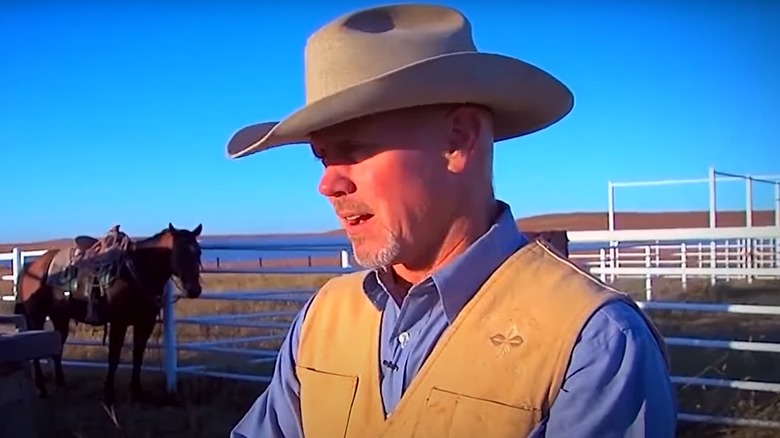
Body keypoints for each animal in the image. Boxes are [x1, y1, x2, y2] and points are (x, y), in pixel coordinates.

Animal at [16, 222, 204, 410]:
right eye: (180, 252)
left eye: (198, 252)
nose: (194, 289)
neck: (136, 270)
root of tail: (30, 267)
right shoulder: (119, 322)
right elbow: (114, 357)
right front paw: (109, 395)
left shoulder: (145, 323)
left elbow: (138, 355)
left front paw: (137, 392)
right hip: (37, 317)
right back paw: (41, 387)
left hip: (59, 317)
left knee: (57, 350)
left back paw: (62, 385)